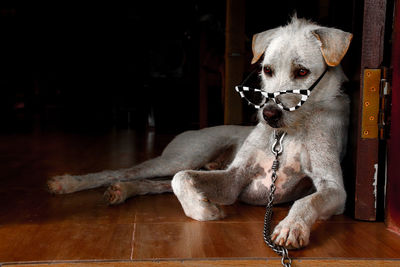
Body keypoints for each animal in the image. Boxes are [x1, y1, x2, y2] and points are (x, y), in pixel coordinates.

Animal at [48, 17, 352, 251]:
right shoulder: (235, 177)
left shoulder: (334, 189)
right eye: (267, 69)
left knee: (156, 183)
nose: (268, 115)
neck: (287, 133)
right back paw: (70, 182)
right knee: (129, 172)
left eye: (302, 72)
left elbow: (308, 200)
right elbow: (182, 181)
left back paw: (122, 190)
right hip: (182, 157)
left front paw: (292, 225)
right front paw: (203, 211)